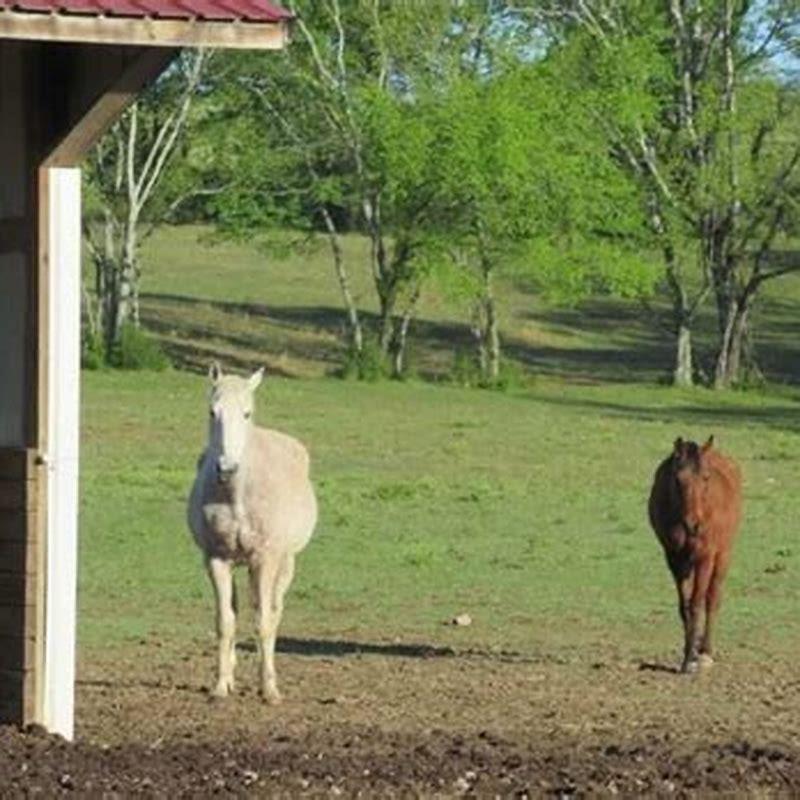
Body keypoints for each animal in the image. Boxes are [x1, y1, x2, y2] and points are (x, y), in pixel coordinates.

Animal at [188, 360, 316, 700]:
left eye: (247, 413)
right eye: (212, 411)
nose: (227, 468)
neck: (236, 496)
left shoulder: (265, 558)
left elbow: (264, 621)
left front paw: (269, 689)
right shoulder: (216, 558)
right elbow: (225, 621)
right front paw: (221, 685)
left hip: (285, 563)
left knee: (273, 609)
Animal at [648, 434, 740, 672]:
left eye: (706, 478)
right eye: (678, 479)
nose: (693, 524)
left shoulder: (704, 557)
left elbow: (698, 602)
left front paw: (693, 658)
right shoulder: (674, 559)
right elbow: (685, 605)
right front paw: (686, 655)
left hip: (722, 555)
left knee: (712, 597)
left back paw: (705, 651)